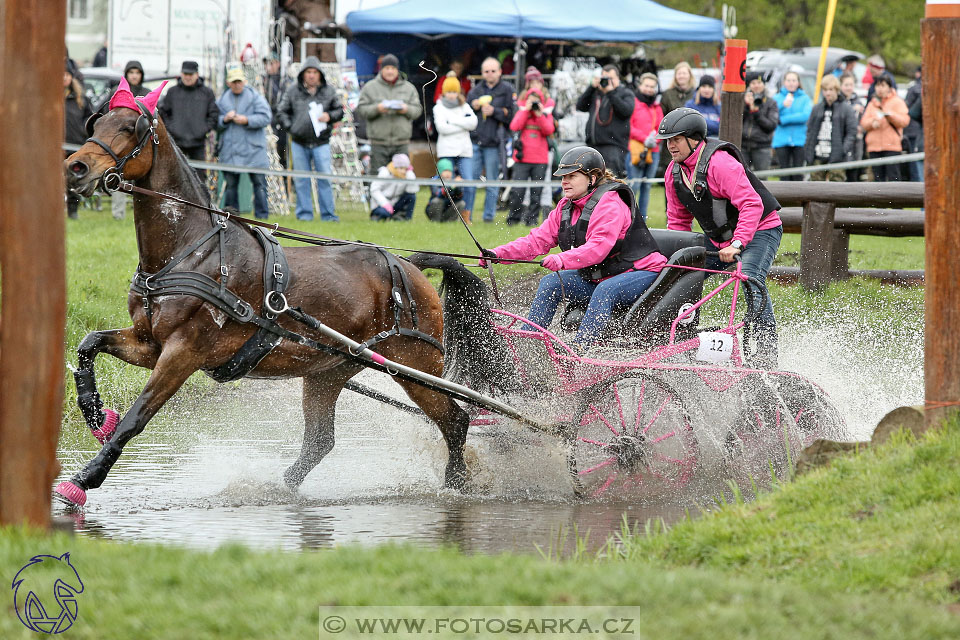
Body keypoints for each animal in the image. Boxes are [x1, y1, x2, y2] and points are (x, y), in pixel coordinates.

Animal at [56, 86, 468, 504]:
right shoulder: (148, 343)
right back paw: (279, 487)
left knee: (456, 419)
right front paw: (95, 413)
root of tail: (409, 267)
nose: (75, 167)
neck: (190, 250)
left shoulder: (183, 352)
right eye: (97, 124)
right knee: (320, 440)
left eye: (129, 128)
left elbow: (137, 417)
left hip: (413, 366)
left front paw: (84, 478)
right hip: (329, 371)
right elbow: (89, 344)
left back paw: (458, 483)